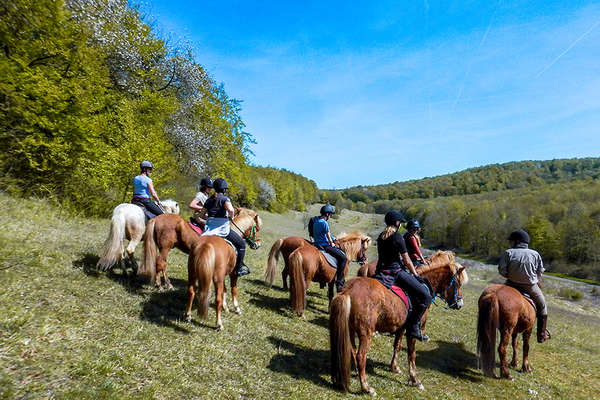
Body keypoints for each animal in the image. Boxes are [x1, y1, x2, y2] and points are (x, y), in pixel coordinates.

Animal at [330, 260, 466, 394]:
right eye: (457, 284)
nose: (459, 304)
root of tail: (347, 290)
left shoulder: (401, 328)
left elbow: (397, 346)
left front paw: (394, 367)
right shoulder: (412, 331)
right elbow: (411, 354)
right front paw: (415, 379)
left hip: (350, 330)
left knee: (352, 351)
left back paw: (358, 373)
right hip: (366, 333)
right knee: (360, 356)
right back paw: (366, 387)